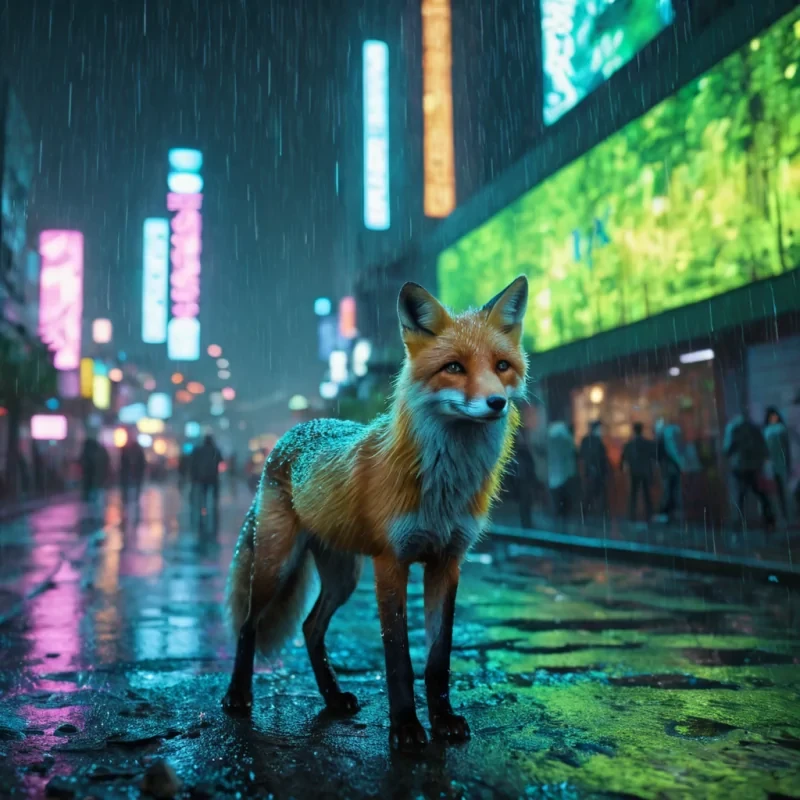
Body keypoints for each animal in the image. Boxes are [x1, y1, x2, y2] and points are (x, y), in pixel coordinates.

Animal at [222, 275, 529, 753]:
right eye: (454, 367)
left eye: (501, 366)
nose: (496, 403)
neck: (443, 486)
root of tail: (293, 431)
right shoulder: (391, 562)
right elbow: (398, 658)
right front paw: (405, 727)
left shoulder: (447, 562)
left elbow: (437, 659)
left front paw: (442, 720)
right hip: (277, 565)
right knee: (249, 623)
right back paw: (238, 694)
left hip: (343, 576)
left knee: (311, 627)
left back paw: (332, 697)